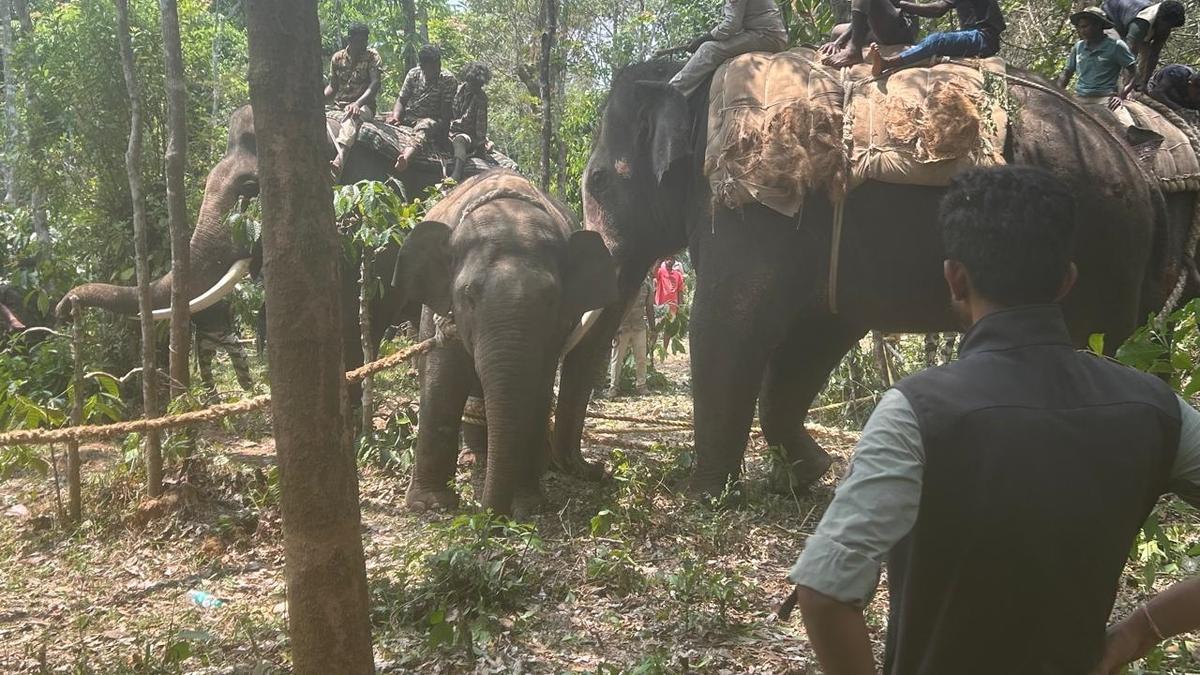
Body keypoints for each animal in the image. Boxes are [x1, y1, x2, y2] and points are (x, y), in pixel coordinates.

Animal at [392, 170, 617, 517]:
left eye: (551, 299)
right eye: (468, 295)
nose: (488, 515)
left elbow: (536, 391)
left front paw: (528, 504)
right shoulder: (440, 308)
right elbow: (441, 381)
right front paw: (429, 505)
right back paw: (474, 459)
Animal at [554, 60, 1190, 498]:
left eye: (599, 183)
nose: (595, 470)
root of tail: (1143, 174)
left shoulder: (747, 208)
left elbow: (731, 324)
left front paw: (708, 492)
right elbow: (816, 335)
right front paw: (805, 475)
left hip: (1099, 246)